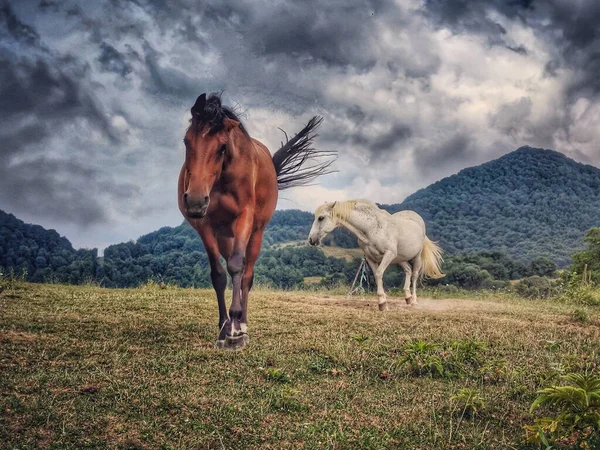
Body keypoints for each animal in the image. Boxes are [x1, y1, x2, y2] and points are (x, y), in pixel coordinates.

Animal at [178, 94, 338, 348]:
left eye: (222, 147)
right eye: (186, 142)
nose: (194, 201)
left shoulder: (245, 218)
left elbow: (237, 267)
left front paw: (235, 329)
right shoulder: (205, 226)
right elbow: (219, 275)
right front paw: (223, 327)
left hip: (256, 234)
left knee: (246, 275)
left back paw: (242, 322)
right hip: (224, 236)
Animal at [310, 200, 446, 310]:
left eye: (321, 218)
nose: (311, 239)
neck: (372, 228)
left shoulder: (388, 254)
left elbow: (380, 273)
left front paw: (382, 303)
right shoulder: (370, 258)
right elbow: (376, 275)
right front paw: (382, 301)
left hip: (416, 256)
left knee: (414, 275)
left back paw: (414, 301)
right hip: (399, 258)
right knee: (408, 270)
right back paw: (407, 298)